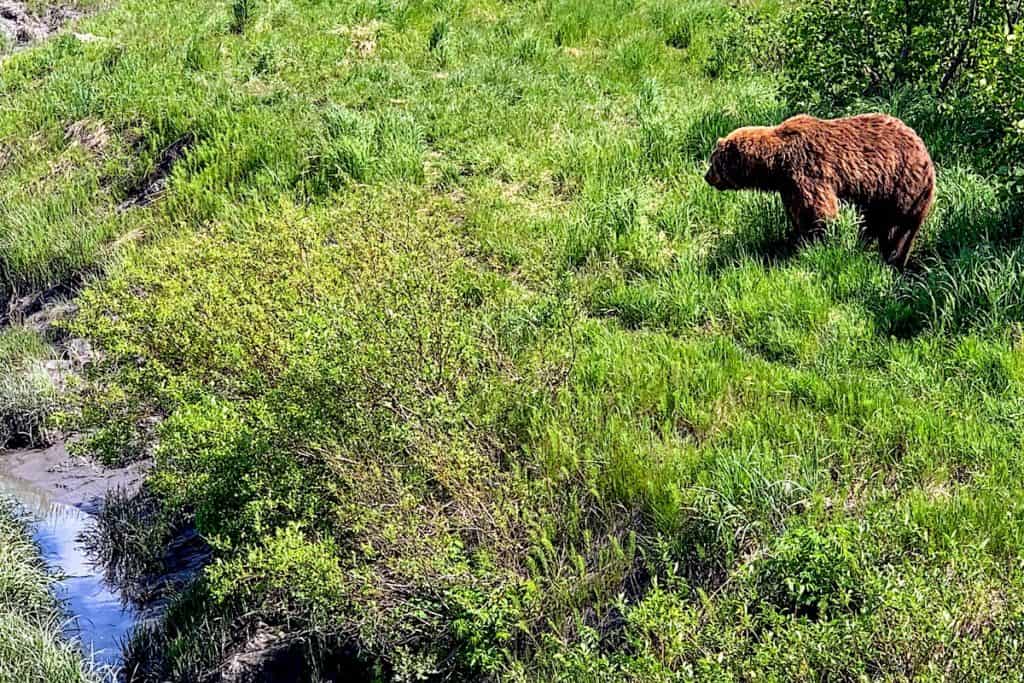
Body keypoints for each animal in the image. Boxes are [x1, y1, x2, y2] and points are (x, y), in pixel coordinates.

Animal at [704, 112, 937, 270]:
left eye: (713, 162)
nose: (707, 177)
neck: (776, 165)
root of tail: (924, 149)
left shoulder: (807, 172)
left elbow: (819, 213)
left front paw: (811, 245)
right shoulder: (788, 186)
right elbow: (798, 214)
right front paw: (796, 238)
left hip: (902, 186)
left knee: (897, 228)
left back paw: (893, 259)